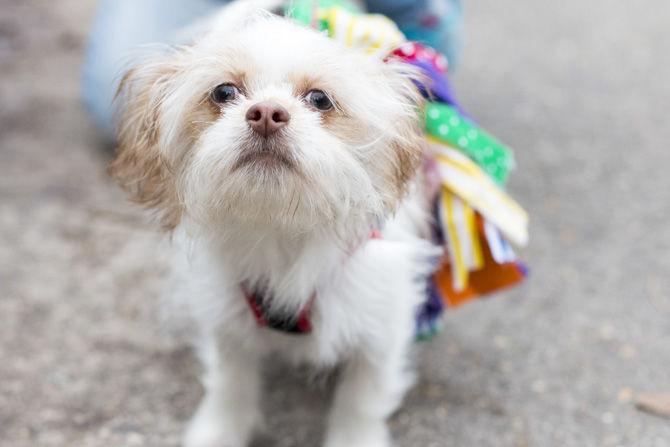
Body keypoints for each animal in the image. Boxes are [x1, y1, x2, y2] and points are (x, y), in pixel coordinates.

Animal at [111, 1, 440, 446]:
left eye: (320, 98)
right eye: (224, 92)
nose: (266, 113)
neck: (280, 228)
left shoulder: (379, 328)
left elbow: (361, 402)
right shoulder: (228, 319)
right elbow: (230, 386)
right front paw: (218, 432)